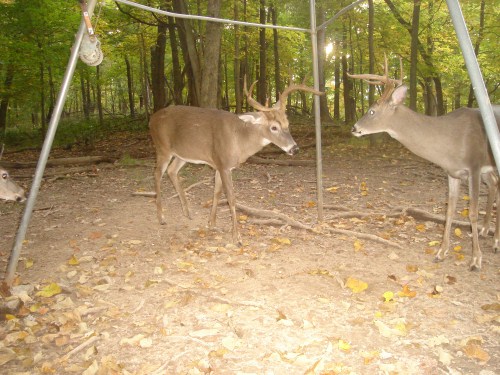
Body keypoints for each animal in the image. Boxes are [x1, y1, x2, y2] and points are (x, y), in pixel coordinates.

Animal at [149, 79, 324, 244]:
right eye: (274, 127)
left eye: (288, 124)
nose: (295, 149)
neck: (240, 140)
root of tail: (152, 118)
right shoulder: (223, 164)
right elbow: (231, 198)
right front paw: (237, 238)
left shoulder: (221, 165)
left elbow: (217, 192)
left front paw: (211, 223)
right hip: (162, 147)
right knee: (157, 173)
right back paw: (161, 218)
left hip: (182, 154)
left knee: (172, 171)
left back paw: (188, 212)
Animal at [350, 55, 498, 270]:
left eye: (371, 111)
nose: (354, 128)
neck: (450, 141)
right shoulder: (452, 172)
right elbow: (449, 211)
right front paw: (441, 252)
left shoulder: (475, 166)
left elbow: (472, 213)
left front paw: (476, 260)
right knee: (495, 185)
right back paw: (487, 232)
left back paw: (494, 242)